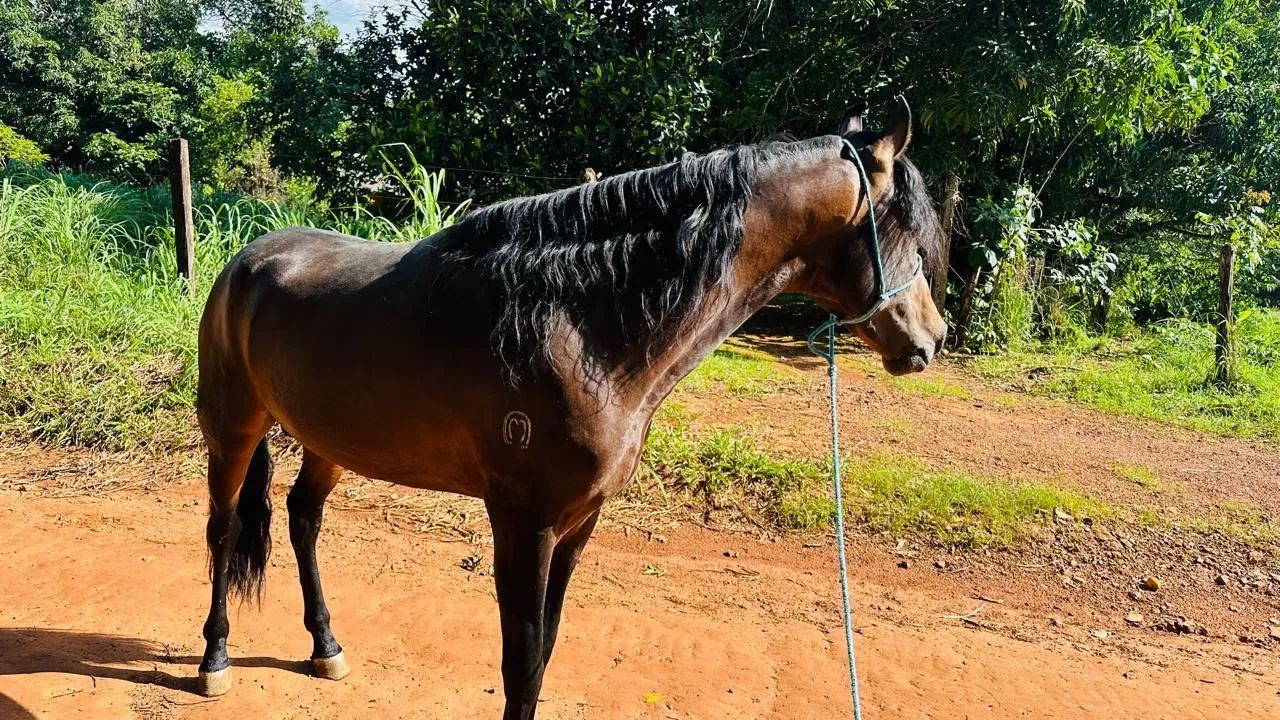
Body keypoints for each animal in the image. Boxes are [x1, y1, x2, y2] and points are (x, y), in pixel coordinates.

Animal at [193, 97, 947, 719]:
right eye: (906, 228)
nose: (931, 339)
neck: (578, 323)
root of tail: (247, 260)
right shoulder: (523, 523)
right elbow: (521, 665)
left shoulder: (580, 522)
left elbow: (547, 649)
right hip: (232, 431)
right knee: (224, 531)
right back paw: (215, 658)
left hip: (327, 440)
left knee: (303, 520)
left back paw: (326, 646)